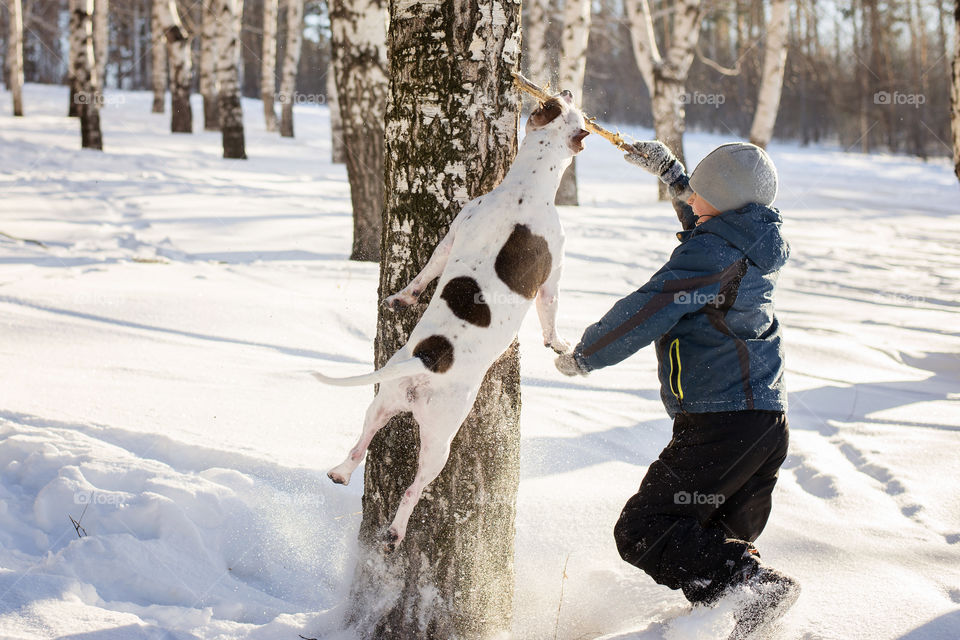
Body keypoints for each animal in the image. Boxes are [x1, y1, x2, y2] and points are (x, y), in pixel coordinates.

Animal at [312, 90, 588, 552]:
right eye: (571, 111)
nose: (565, 90)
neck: (525, 188)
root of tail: (426, 359)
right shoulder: (552, 279)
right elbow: (550, 316)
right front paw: (558, 343)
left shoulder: (454, 232)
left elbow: (427, 272)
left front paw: (403, 298)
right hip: (440, 439)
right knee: (413, 488)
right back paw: (395, 531)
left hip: (382, 402)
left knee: (359, 444)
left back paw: (340, 472)